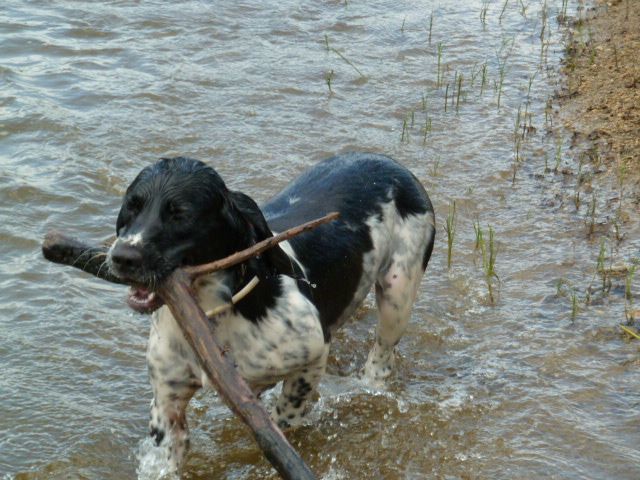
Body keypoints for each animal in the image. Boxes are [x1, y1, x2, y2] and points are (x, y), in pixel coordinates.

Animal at [107, 153, 436, 472]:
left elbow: (283, 421)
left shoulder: (314, 352)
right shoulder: (167, 399)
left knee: (382, 359)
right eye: (131, 207)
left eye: (180, 214)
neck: (215, 315)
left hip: (397, 295)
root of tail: (390, 162)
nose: (122, 257)